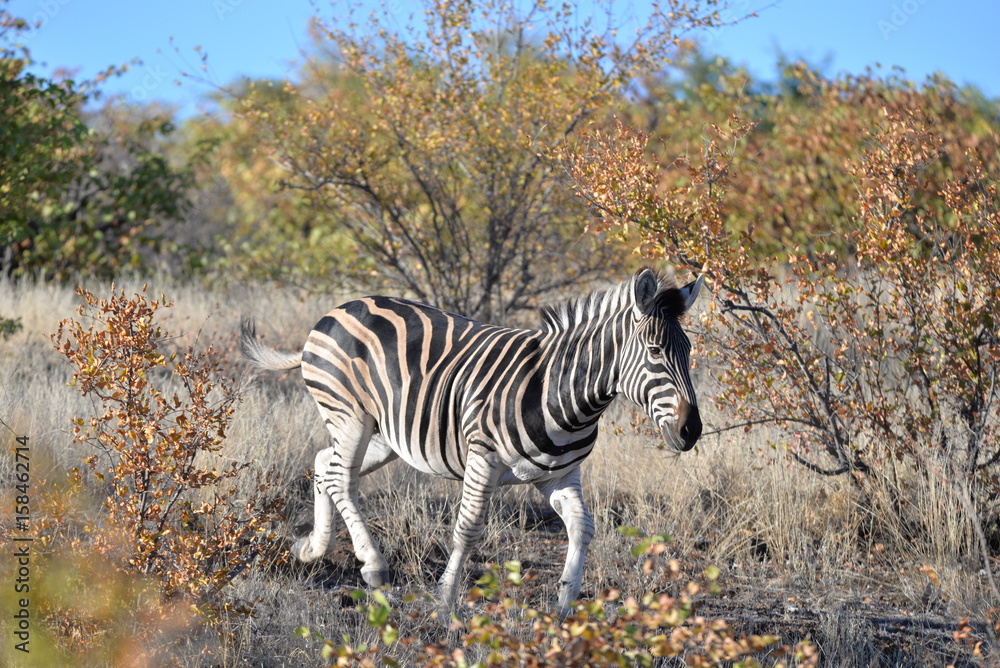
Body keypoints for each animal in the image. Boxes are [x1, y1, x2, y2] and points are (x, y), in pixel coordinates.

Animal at [239, 268, 703, 615]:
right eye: (656, 351)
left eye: (689, 351)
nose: (691, 431)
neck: (559, 390)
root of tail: (337, 309)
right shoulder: (483, 459)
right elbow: (468, 528)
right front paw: (445, 601)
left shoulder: (560, 474)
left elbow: (582, 528)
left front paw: (565, 604)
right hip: (349, 415)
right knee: (341, 477)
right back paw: (372, 565)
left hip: (383, 433)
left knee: (326, 464)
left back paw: (313, 548)